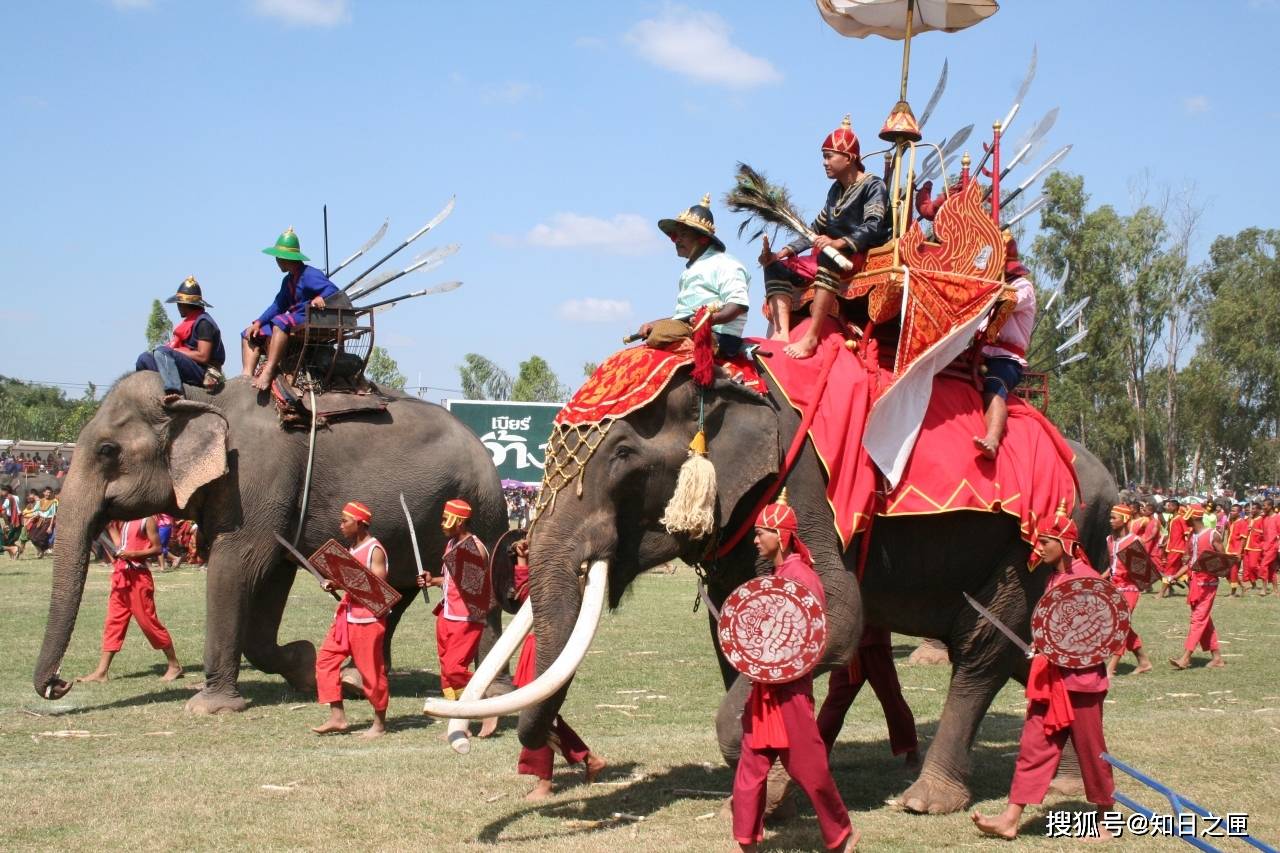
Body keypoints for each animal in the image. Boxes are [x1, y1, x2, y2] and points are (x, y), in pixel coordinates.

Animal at [33, 371, 504, 712]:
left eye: (107, 450)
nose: (61, 684)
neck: (201, 396)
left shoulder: (257, 479)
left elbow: (237, 564)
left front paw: (209, 708)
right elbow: (271, 575)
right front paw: (307, 665)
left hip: (481, 509)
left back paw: (489, 691)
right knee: (395, 594)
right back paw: (360, 679)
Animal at [435, 368, 1116, 814]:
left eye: (625, 454)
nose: (467, 739)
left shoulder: (810, 488)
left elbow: (836, 619)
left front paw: (765, 777)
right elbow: (732, 632)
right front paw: (778, 787)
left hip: (1034, 544)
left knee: (982, 652)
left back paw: (929, 798)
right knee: (1037, 654)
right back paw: (1067, 788)